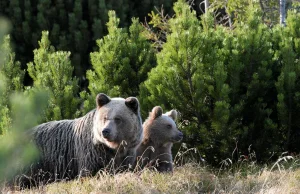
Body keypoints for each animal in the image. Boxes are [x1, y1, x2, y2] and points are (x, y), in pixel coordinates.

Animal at [12, 93, 143, 189]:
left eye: (118, 118)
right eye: (105, 118)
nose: (105, 131)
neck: (113, 148)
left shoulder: (126, 154)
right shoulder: (91, 153)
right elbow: (88, 173)